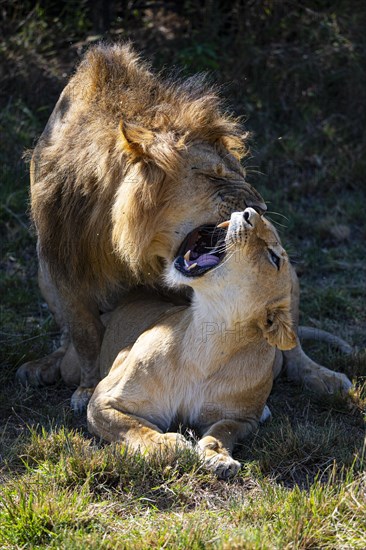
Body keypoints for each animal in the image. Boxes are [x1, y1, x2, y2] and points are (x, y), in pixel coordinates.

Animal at [17, 44, 352, 414]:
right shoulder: (63, 267)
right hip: (43, 278)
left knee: (291, 343)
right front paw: (87, 388)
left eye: (239, 171)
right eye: (214, 175)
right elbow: (85, 335)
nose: (260, 209)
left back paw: (322, 377)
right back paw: (43, 366)